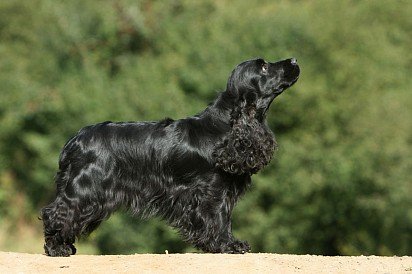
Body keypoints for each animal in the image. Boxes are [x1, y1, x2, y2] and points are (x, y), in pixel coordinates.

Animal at [41, 56, 300, 256]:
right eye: (263, 67)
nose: (294, 60)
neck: (228, 126)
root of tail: (75, 140)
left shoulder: (224, 191)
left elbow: (225, 218)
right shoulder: (212, 191)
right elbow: (218, 217)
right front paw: (227, 245)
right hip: (85, 189)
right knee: (56, 213)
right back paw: (57, 248)